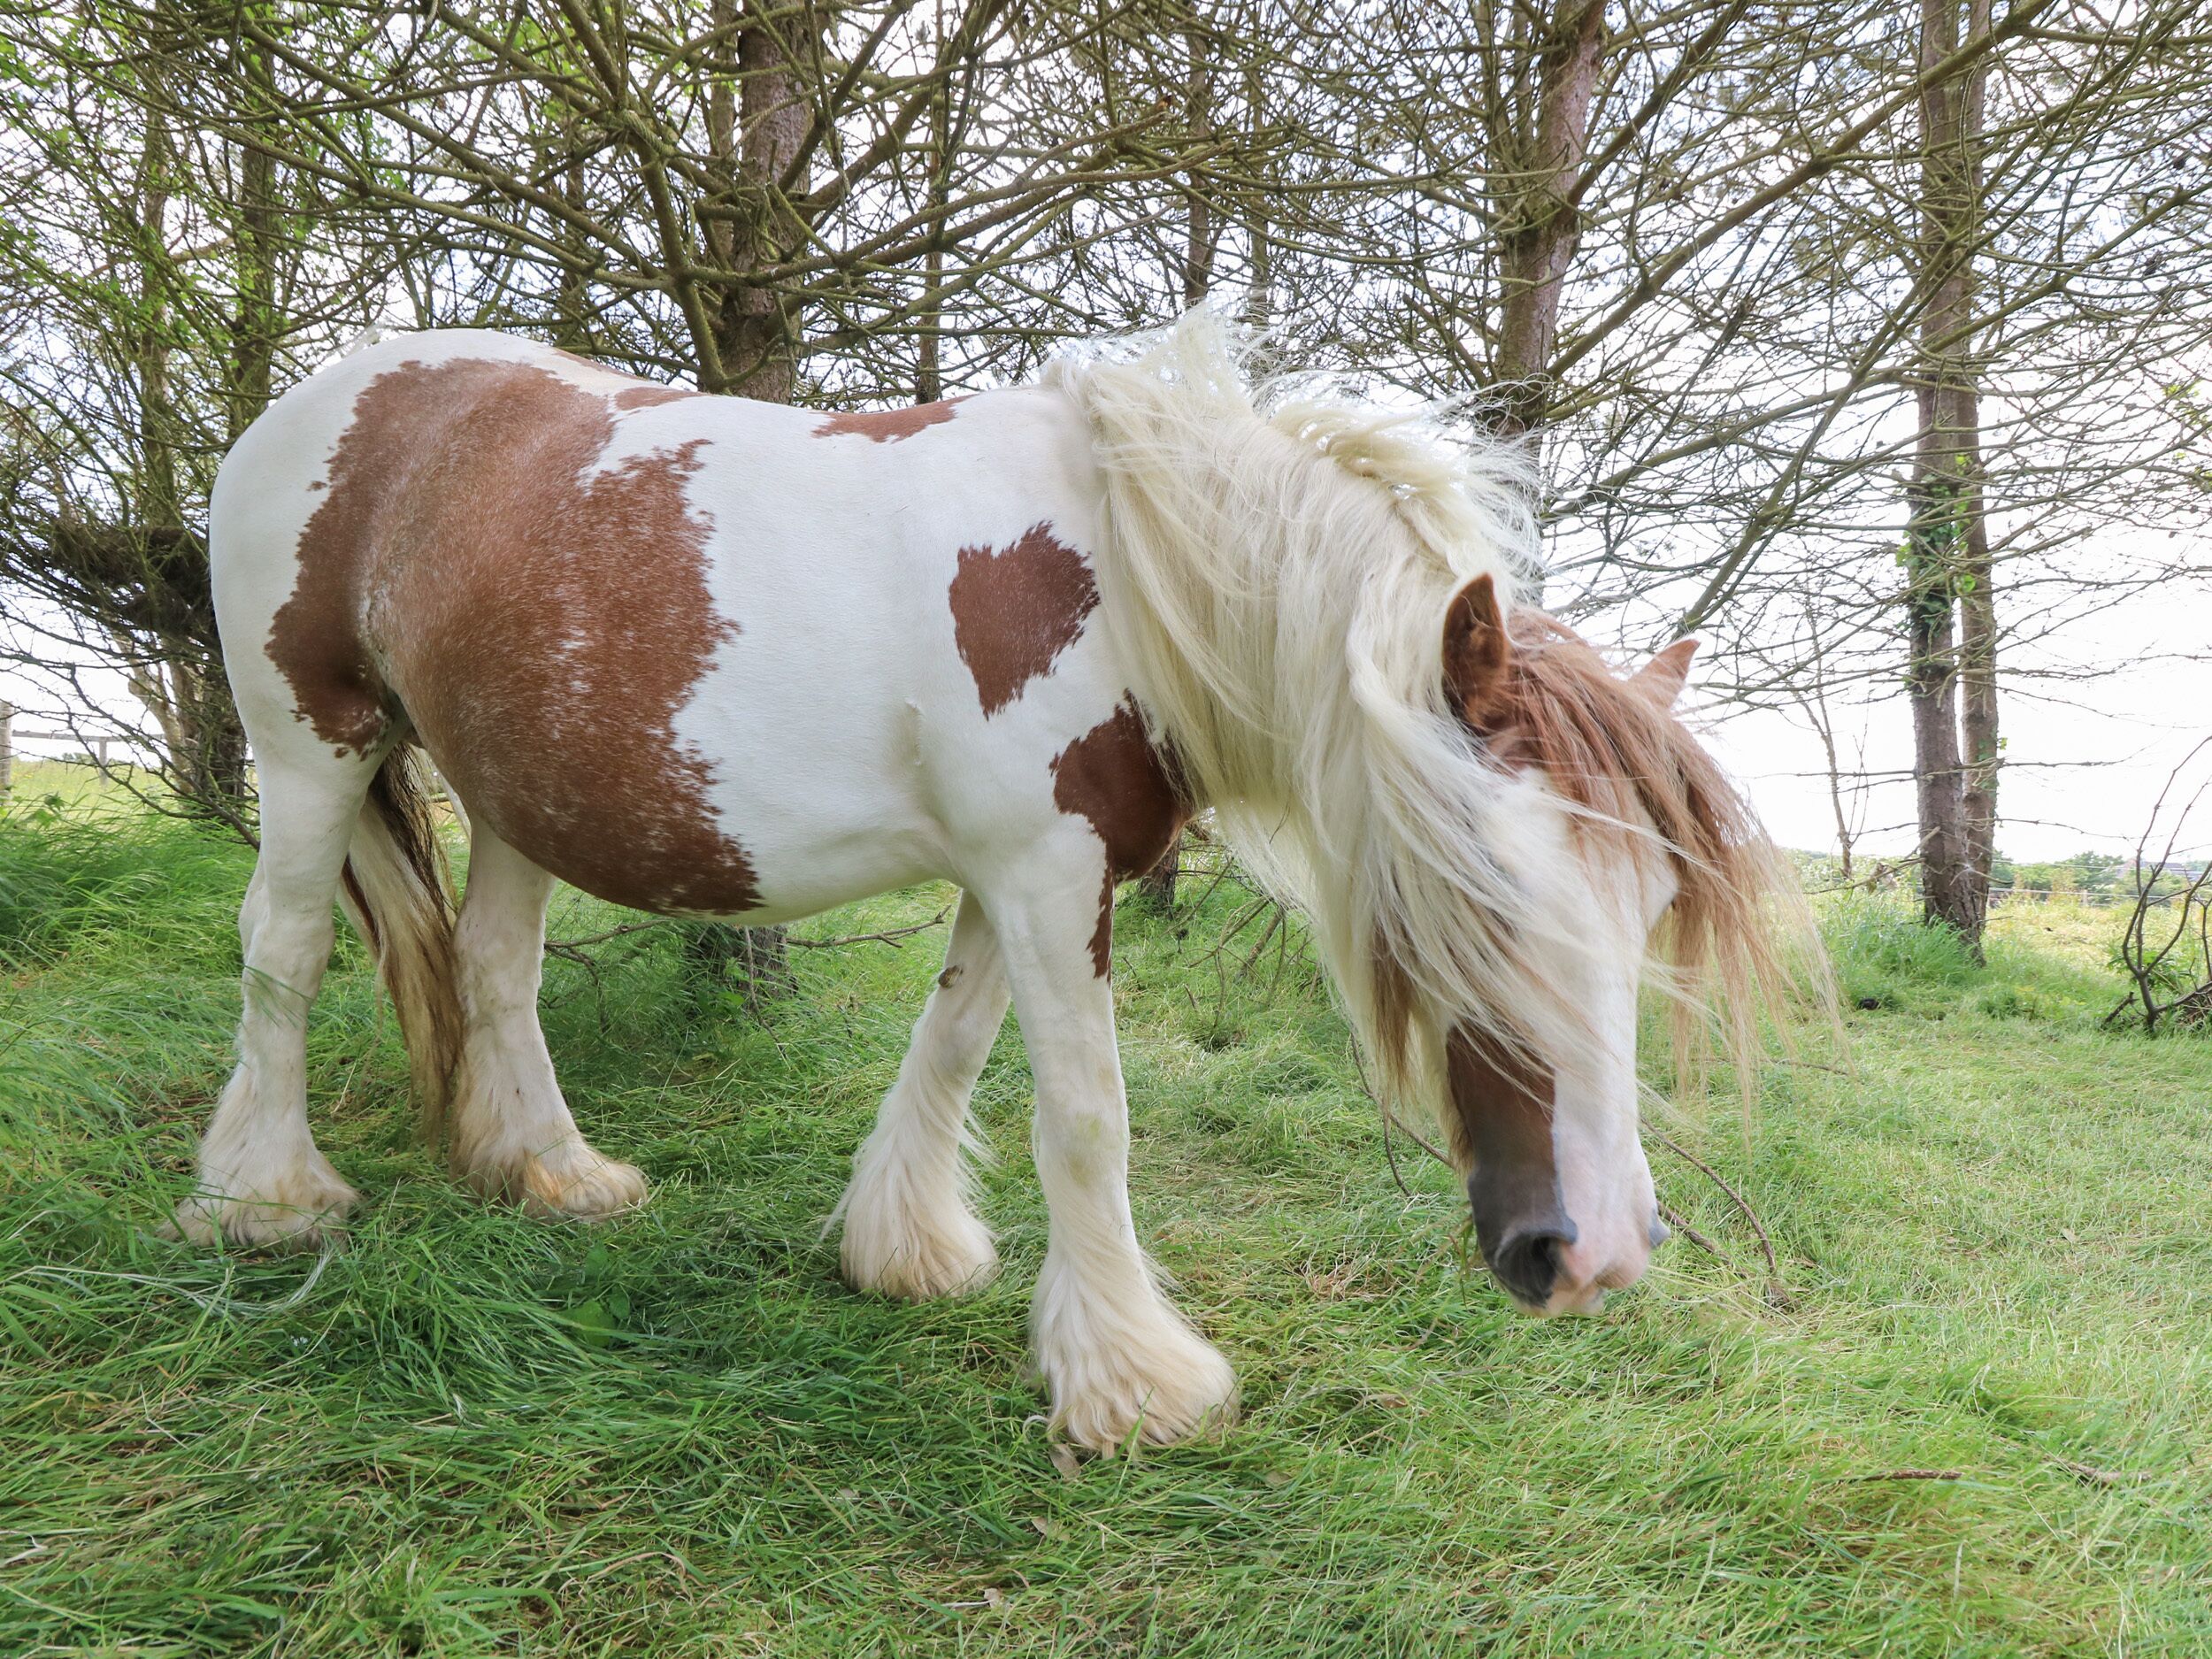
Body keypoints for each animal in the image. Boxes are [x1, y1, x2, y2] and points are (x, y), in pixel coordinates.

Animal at [181, 311, 1788, 1452]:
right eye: (1481, 888)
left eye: (1648, 914)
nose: (1596, 1255)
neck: (1136, 577)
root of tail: (305, 408)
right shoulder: (1046, 869)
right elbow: (1087, 1117)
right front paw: (1134, 1385)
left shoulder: (1015, 874)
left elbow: (953, 1041)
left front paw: (902, 1248)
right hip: (314, 747)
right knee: (279, 951)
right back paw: (266, 1197)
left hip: (518, 790)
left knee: (496, 968)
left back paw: (551, 1172)